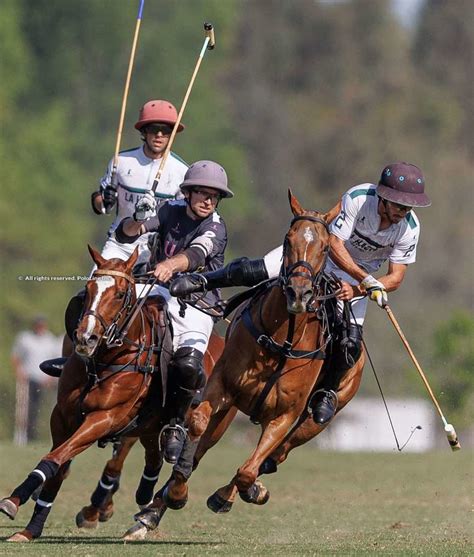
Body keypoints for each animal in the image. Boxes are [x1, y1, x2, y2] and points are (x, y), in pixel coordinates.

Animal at [0, 247, 230, 540]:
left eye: (120, 294)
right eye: (88, 290)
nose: (86, 338)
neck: (104, 360)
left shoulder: (104, 418)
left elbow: (54, 458)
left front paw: (16, 501)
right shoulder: (63, 417)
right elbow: (59, 467)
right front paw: (30, 526)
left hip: (212, 424)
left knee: (187, 459)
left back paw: (170, 497)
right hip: (148, 426)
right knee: (153, 459)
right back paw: (144, 498)